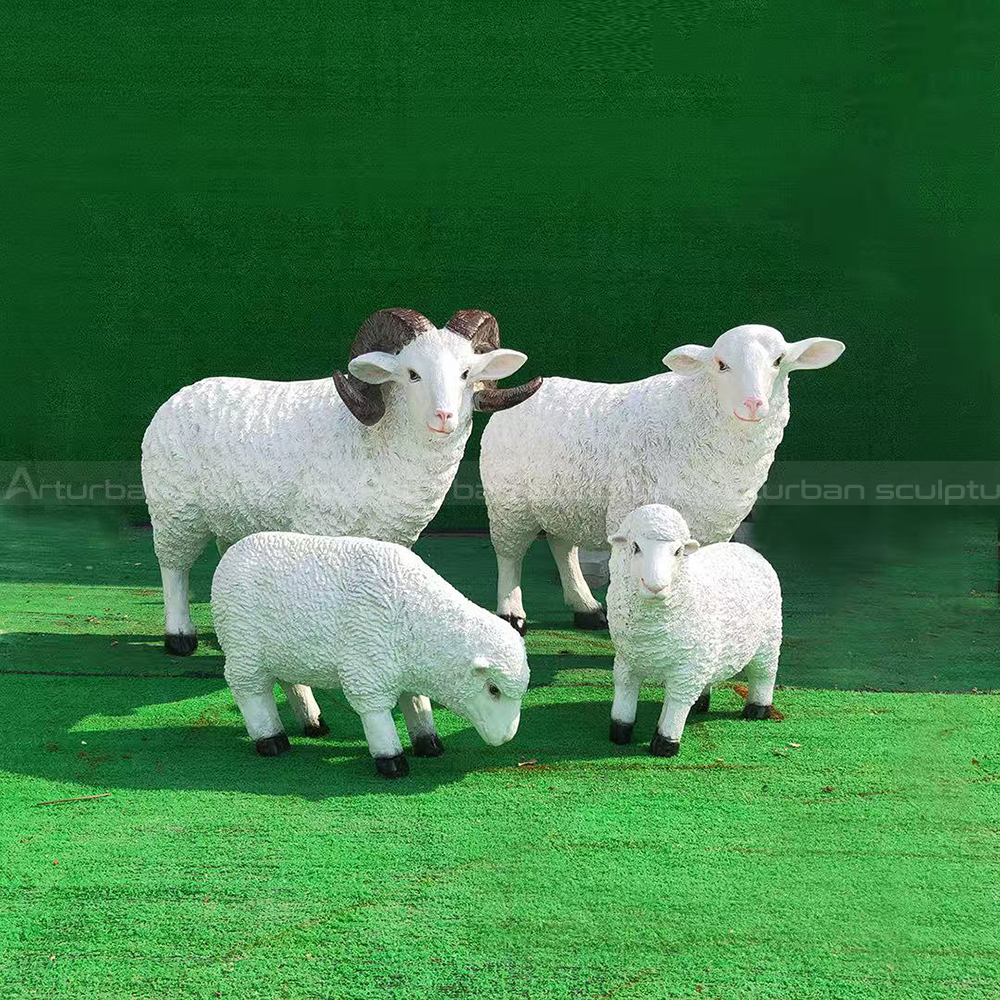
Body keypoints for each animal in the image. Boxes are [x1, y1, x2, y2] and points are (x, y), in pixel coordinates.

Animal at [142, 308, 541, 658]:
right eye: (412, 374)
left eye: (466, 373)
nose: (445, 417)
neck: (379, 444)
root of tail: (178, 397)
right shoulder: (319, 529)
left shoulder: (395, 538)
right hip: (175, 511)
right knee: (174, 568)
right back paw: (180, 637)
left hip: (233, 519)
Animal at [211, 531, 530, 777]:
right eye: (493, 689)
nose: (506, 736)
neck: (420, 620)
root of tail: (231, 554)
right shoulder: (367, 668)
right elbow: (374, 711)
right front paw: (391, 760)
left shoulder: (404, 666)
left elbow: (416, 703)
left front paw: (429, 743)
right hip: (243, 648)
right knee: (251, 691)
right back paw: (271, 739)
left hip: (282, 650)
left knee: (290, 682)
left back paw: (313, 723)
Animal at [479, 324, 842, 634]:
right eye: (721, 364)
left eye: (779, 361)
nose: (753, 404)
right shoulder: (632, 511)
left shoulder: (716, 524)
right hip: (508, 499)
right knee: (509, 553)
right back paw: (512, 614)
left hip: (563, 497)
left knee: (562, 546)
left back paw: (587, 608)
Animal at [605, 504, 782, 756]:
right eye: (635, 547)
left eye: (678, 551)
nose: (656, 586)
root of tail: (747, 549)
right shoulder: (627, 660)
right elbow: (624, 690)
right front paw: (619, 732)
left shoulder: (686, 670)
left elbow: (677, 701)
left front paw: (665, 743)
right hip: (708, 650)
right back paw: (701, 703)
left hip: (767, 641)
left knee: (764, 674)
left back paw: (757, 710)